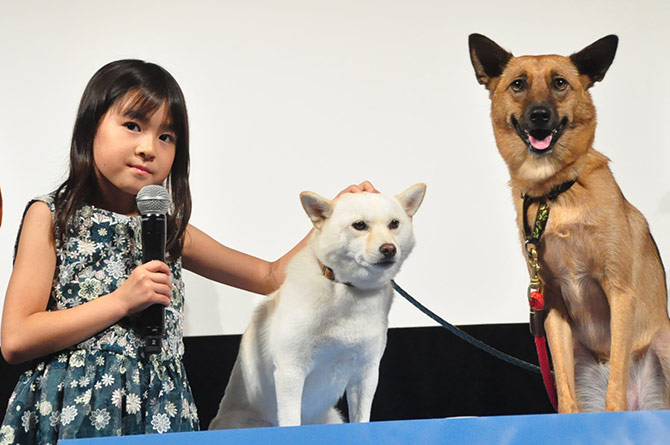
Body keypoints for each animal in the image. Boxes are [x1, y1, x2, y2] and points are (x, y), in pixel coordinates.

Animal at [210, 183, 428, 426]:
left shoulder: (366, 374)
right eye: (359, 225)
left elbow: (362, 419)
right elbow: (291, 421)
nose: (389, 249)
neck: (347, 290)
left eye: (394, 224)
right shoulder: (291, 370)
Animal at [470, 33, 670, 412]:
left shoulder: (619, 292)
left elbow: (615, 387)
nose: (539, 115)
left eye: (560, 83)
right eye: (518, 84)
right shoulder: (552, 308)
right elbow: (564, 392)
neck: (555, 191)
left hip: (664, 342)